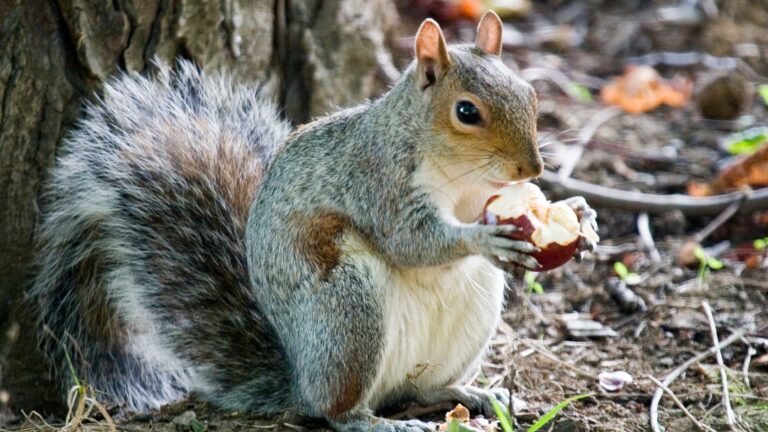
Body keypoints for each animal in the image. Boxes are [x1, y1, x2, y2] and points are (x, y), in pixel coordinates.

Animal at [30, 11, 596, 431]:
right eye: (467, 112)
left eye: (530, 95)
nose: (532, 169)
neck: (459, 176)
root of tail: (301, 377)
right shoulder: (378, 181)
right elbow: (411, 240)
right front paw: (484, 236)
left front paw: (579, 214)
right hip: (348, 311)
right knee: (338, 410)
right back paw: (377, 420)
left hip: (467, 317)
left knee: (420, 388)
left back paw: (467, 391)